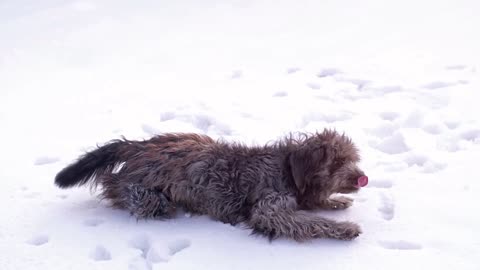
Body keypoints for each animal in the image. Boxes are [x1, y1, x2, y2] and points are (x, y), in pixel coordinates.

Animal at [57, 130, 372, 242]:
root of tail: (138, 146)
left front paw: (335, 202)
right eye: (337, 162)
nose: (361, 177)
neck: (287, 168)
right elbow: (310, 222)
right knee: (113, 185)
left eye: (351, 158)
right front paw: (344, 228)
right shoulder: (270, 209)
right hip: (145, 194)